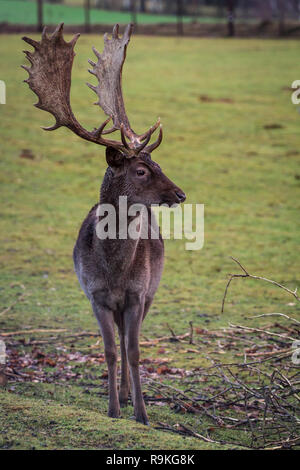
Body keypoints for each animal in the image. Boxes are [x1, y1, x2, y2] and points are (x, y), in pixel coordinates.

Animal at [22, 23, 185, 424]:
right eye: (141, 170)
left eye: (158, 164)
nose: (180, 194)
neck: (114, 271)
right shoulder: (94, 295)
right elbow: (110, 352)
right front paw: (112, 410)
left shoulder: (138, 294)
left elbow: (135, 351)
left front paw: (141, 413)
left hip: (152, 292)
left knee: (130, 342)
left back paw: (129, 396)